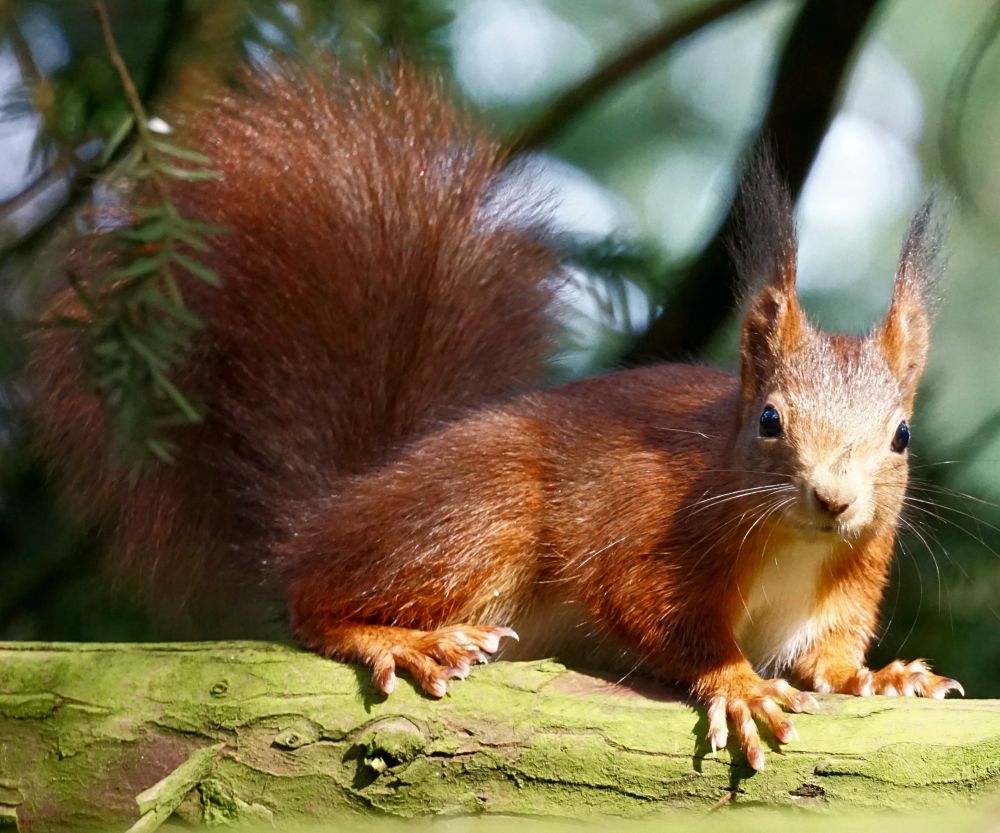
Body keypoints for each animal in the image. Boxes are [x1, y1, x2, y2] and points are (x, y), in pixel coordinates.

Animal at [30, 62, 963, 771]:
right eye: (768, 421)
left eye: (901, 435)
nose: (834, 498)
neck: (795, 545)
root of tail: (336, 505)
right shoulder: (657, 531)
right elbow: (652, 608)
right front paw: (737, 683)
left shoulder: (849, 580)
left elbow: (826, 656)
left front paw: (883, 677)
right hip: (483, 510)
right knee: (309, 599)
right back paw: (394, 638)